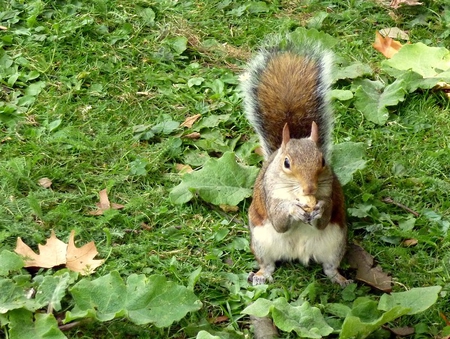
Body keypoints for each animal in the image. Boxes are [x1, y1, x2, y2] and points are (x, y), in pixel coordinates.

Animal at [239, 36, 352, 286]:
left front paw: (320, 207)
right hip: (260, 243)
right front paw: (293, 209)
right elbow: (279, 222)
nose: (309, 189)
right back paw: (260, 276)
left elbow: (325, 217)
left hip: (336, 243)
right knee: (268, 265)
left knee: (330, 267)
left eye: (322, 161)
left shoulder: (330, 191)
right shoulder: (269, 195)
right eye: (287, 163)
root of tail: (298, 254)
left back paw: (340, 279)